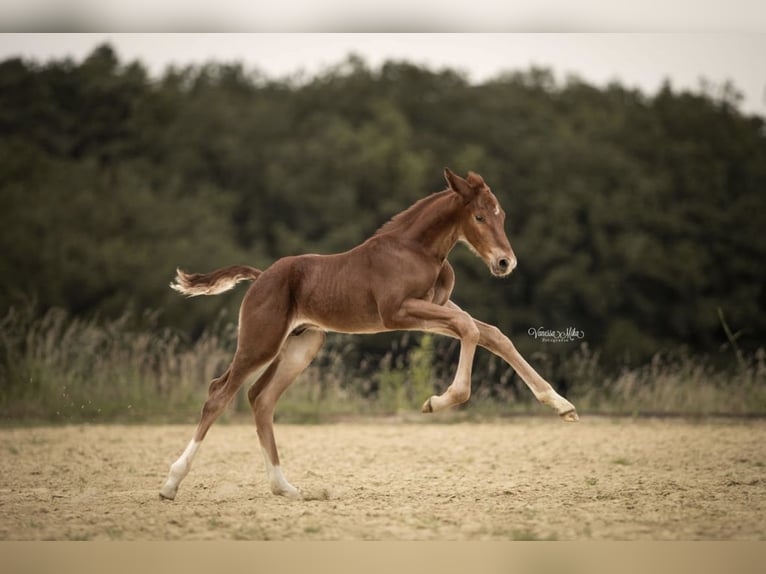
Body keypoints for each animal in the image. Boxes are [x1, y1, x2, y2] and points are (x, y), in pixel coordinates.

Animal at [164, 169, 584, 502]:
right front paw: (438, 401)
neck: (417, 250)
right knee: (219, 393)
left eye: (502, 215)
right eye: (479, 216)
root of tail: (260, 275)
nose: (504, 262)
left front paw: (562, 405)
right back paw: (171, 483)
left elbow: (492, 334)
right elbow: (468, 328)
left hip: (302, 345)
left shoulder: (435, 308)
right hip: (261, 341)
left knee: (260, 398)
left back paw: (284, 487)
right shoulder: (397, 312)